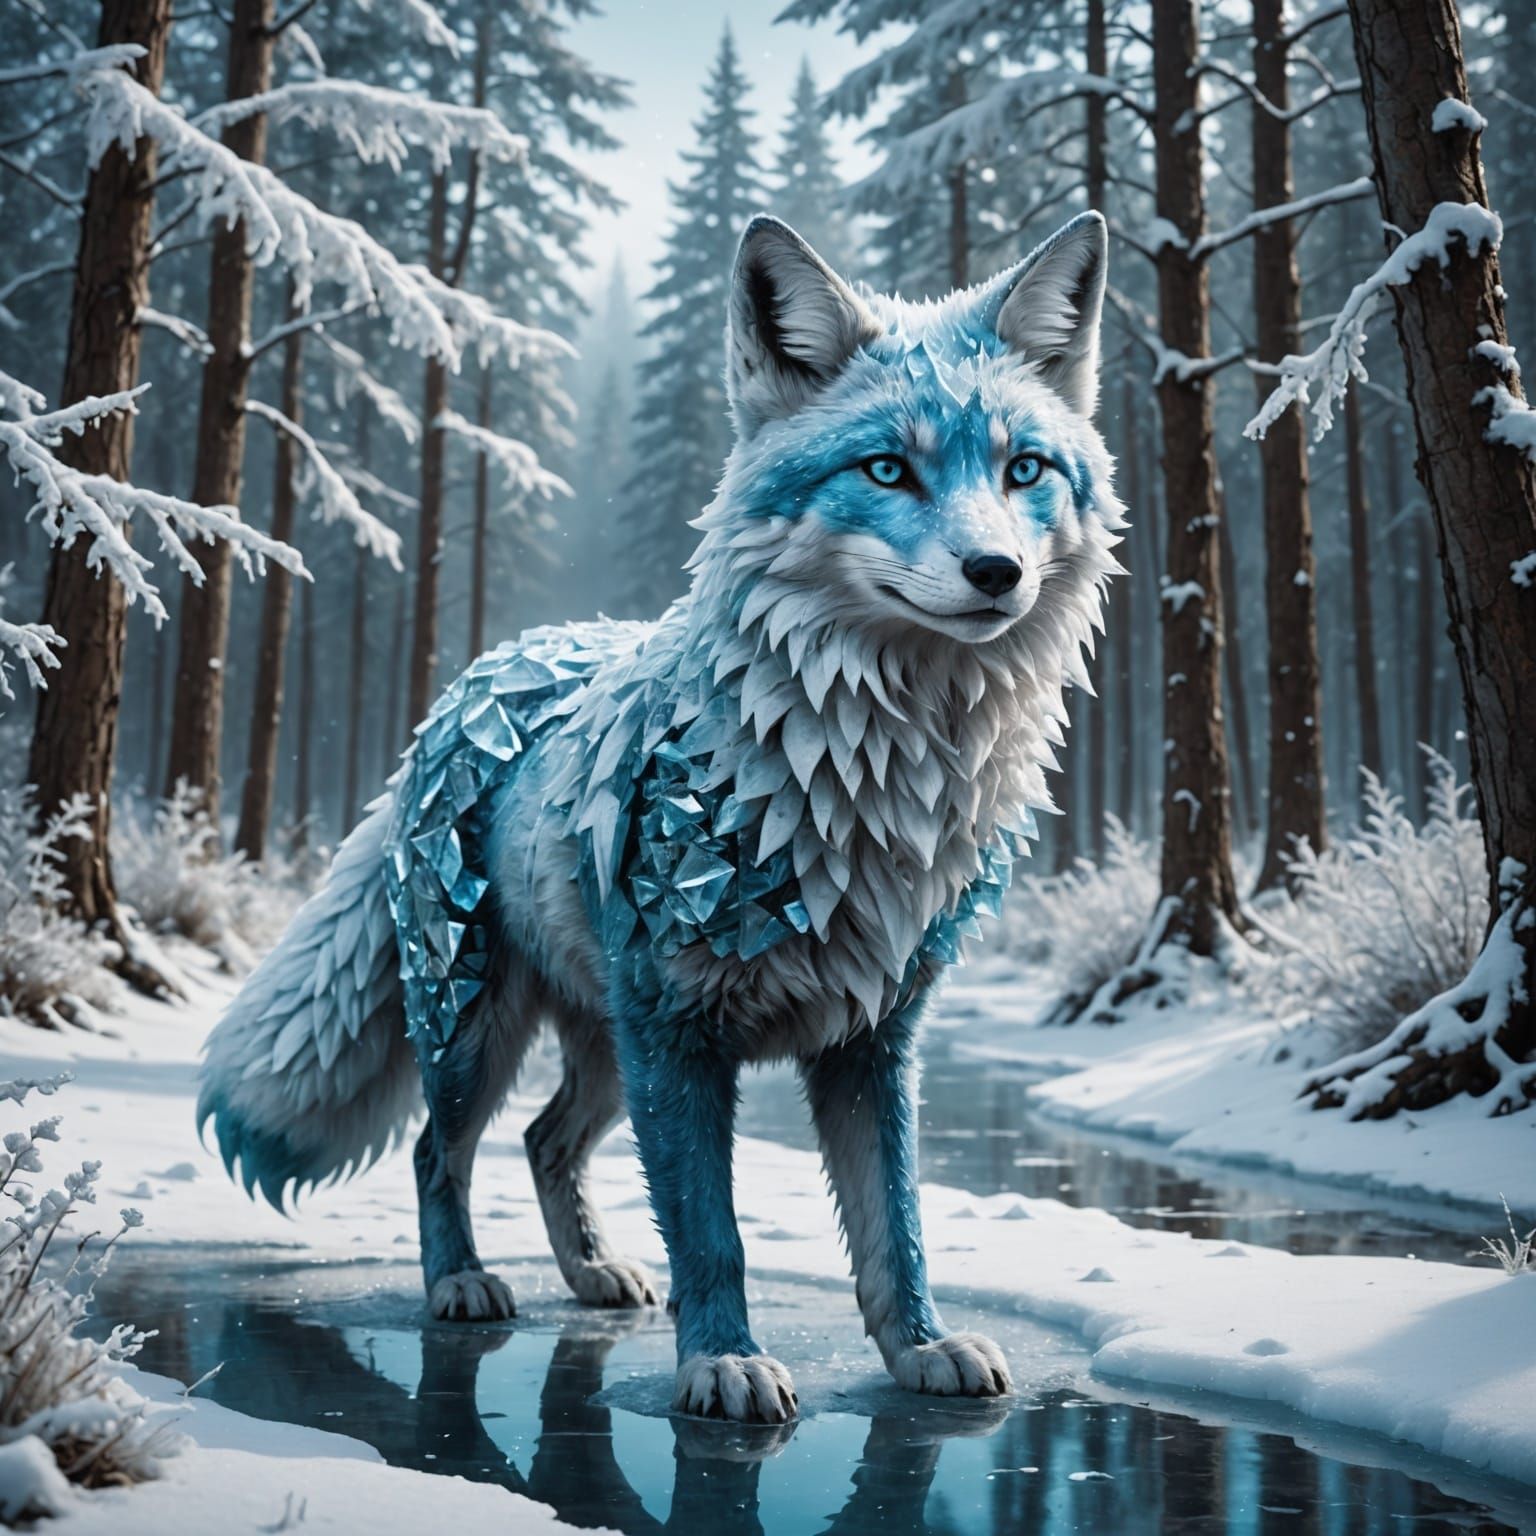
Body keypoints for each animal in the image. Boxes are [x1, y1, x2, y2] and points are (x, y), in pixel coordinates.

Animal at [199, 211, 1123, 1425]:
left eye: (1025, 470)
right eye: (888, 467)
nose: (997, 571)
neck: (870, 781)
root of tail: (485, 672)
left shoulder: (874, 1040)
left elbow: (898, 1227)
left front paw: (921, 1347)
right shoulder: (681, 1035)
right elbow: (713, 1233)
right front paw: (722, 1362)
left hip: (601, 1052)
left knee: (545, 1140)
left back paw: (593, 1271)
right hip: (480, 1022)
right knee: (440, 1150)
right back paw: (461, 1282)